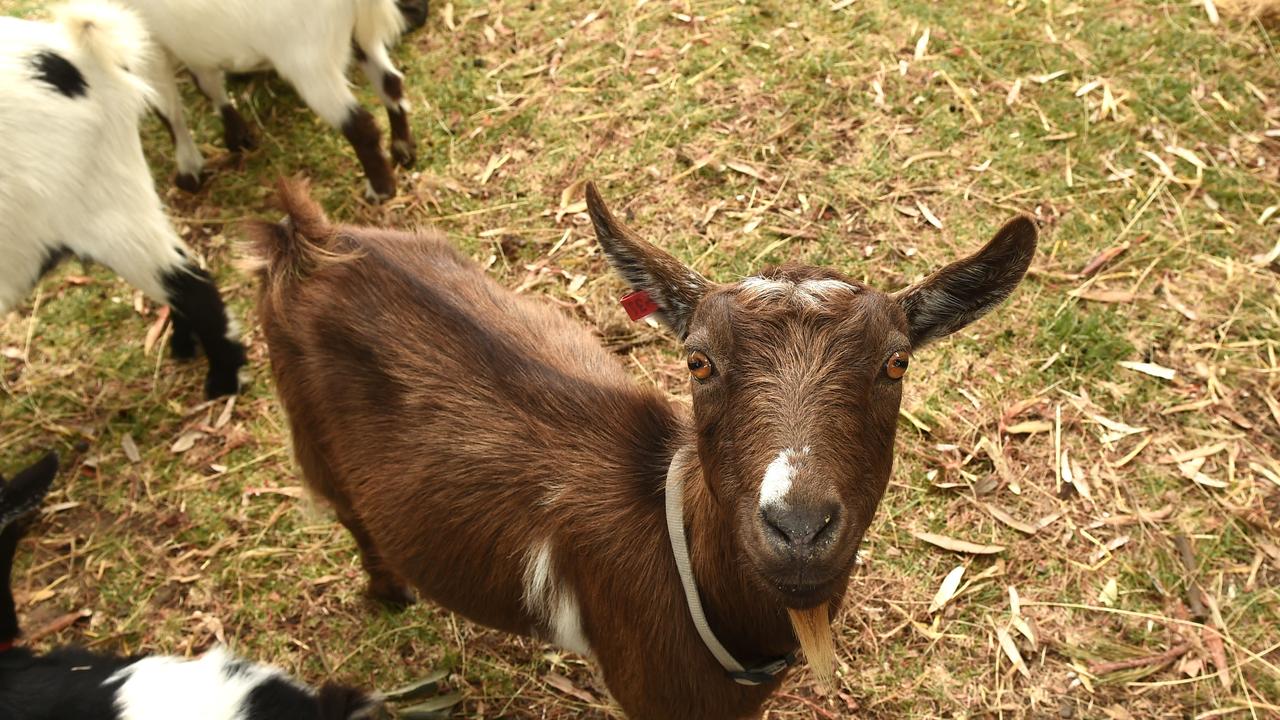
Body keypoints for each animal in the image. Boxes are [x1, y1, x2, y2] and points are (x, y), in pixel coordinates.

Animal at [120, 0, 414, 199]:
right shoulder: (190, 42)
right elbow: (206, 82)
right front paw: (237, 136)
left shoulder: (146, 40)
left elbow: (166, 108)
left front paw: (188, 173)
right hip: (358, 36)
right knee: (391, 83)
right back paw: (403, 150)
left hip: (307, 59)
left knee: (359, 124)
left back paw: (381, 190)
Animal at [249, 180, 1039, 717]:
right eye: (698, 360)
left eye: (896, 362)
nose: (798, 528)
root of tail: (313, 242)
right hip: (309, 434)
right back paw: (388, 596)